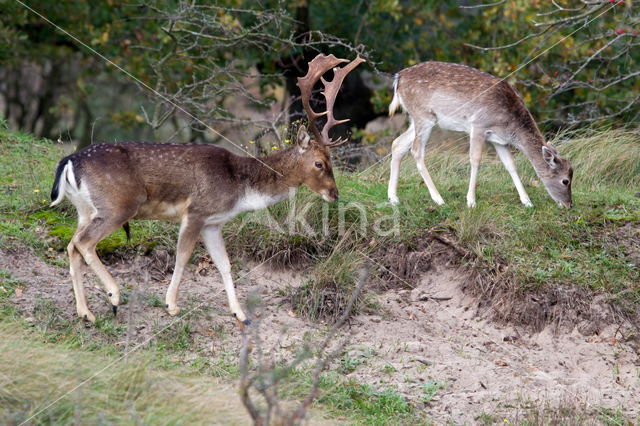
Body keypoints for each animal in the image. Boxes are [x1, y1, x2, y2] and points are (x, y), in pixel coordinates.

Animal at [50, 55, 364, 324]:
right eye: (319, 163)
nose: (335, 194)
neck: (240, 188)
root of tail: (68, 162)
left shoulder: (213, 223)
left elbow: (225, 264)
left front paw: (241, 314)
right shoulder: (196, 211)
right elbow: (183, 256)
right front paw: (171, 305)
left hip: (86, 209)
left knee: (72, 245)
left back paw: (85, 312)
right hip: (119, 205)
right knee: (84, 243)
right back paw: (114, 297)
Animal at [384, 62, 576, 209]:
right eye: (565, 181)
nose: (569, 205)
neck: (509, 124)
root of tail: (398, 78)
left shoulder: (499, 141)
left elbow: (510, 165)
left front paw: (527, 202)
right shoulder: (478, 125)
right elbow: (475, 159)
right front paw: (471, 201)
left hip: (418, 119)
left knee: (397, 144)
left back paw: (393, 198)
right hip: (424, 116)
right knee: (416, 151)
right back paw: (438, 199)